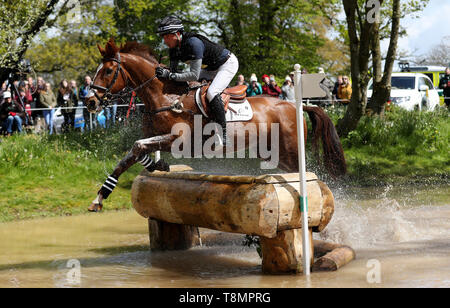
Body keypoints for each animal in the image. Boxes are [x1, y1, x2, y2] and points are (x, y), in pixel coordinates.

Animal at [87, 38, 348, 212]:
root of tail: (296, 105)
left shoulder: (180, 140)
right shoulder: (154, 137)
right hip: (277, 154)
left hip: (292, 152)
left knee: (312, 177)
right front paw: (101, 196)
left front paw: (156, 164)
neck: (164, 97)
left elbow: (138, 145)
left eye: (108, 71)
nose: (90, 102)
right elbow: (132, 154)